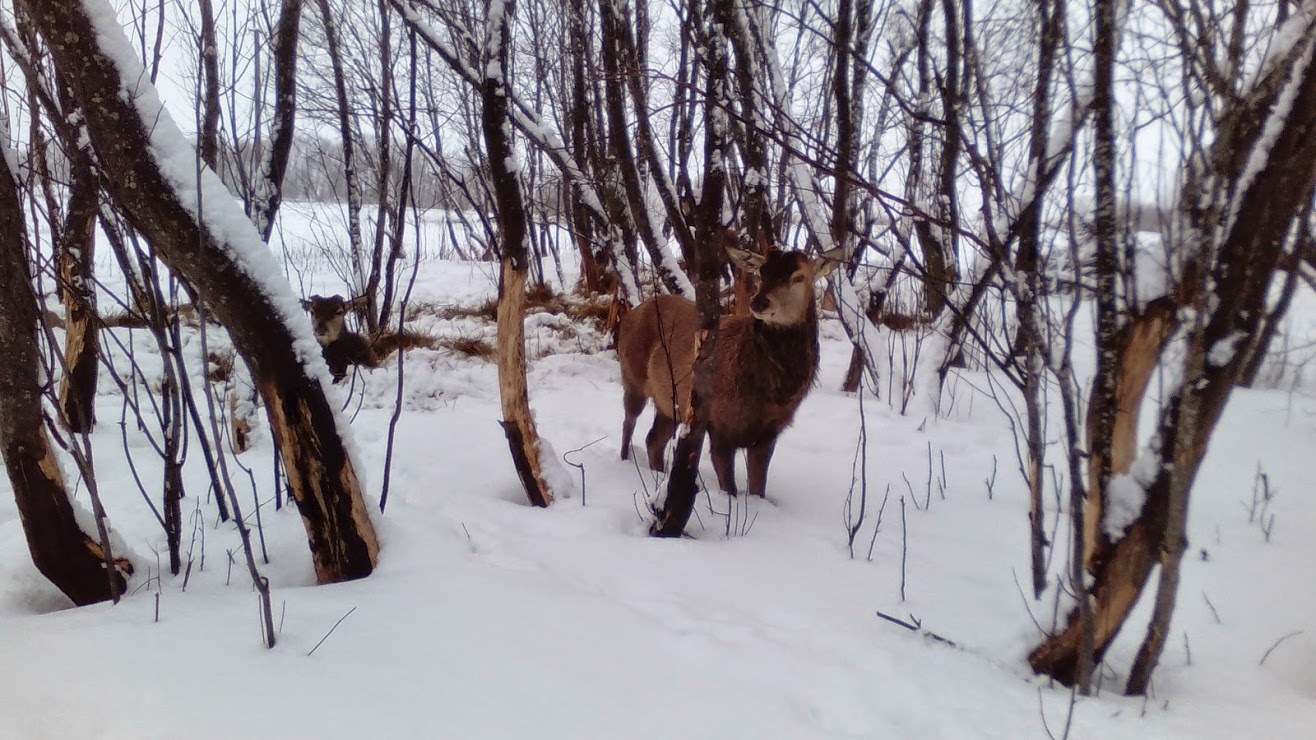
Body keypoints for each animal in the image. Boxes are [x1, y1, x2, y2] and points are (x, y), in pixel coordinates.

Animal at [618, 246, 842, 495]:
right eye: (761, 273)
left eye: (799, 277)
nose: (759, 302)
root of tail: (629, 313)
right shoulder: (720, 423)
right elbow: (729, 487)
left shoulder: (770, 431)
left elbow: (758, 487)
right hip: (631, 376)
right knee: (629, 421)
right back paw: (625, 461)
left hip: (669, 403)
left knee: (653, 440)